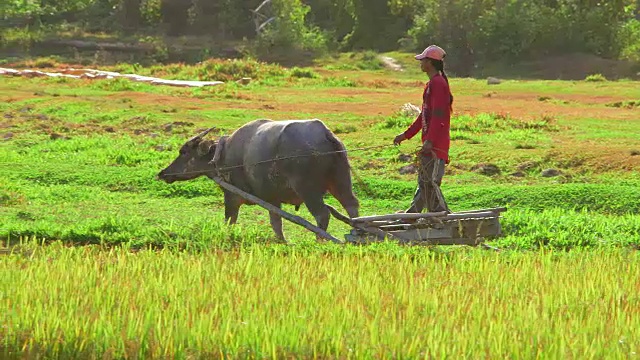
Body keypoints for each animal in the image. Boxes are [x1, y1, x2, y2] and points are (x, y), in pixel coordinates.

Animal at [157, 119, 360, 242]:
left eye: (183, 152)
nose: (163, 173)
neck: (221, 155)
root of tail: (326, 133)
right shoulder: (272, 198)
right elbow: (276, 222)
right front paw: (282, 242)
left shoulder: (231, 196)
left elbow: (230, 220)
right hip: (340, 180)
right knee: (351, 205)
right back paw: (357, 234)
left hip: (307, 189)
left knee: (322, 214)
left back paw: (320, 240)